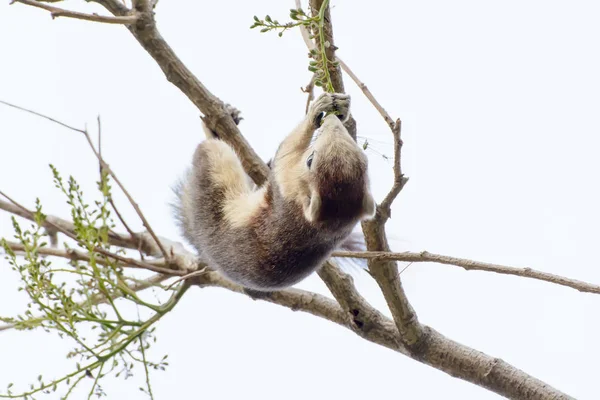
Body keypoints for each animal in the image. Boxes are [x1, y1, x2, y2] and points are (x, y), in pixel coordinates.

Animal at [171, 94, 376, 294]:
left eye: (310, 161)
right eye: (364, 161)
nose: (332, 121)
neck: (328, 226)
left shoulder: (284, 188)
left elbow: (286, 152)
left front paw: (314, 112)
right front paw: (340, 108)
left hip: (215, 167)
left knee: (212, 148)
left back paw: (212, 131)